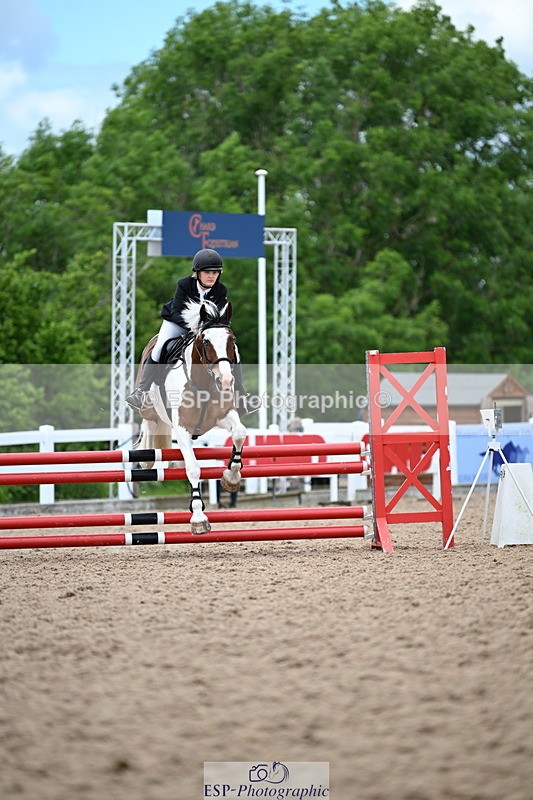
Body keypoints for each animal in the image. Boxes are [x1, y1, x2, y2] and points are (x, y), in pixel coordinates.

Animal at [132, 300, 247, 534]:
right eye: (206, 341)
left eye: (232, 340)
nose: (226, 380)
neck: (202, 382)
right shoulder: (183, 429)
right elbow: (193, 468)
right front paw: (198, 518)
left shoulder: (223, 416)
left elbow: (240, 433)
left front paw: (231, 478)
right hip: (147, 406)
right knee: (149, 420)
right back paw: (146, 459)